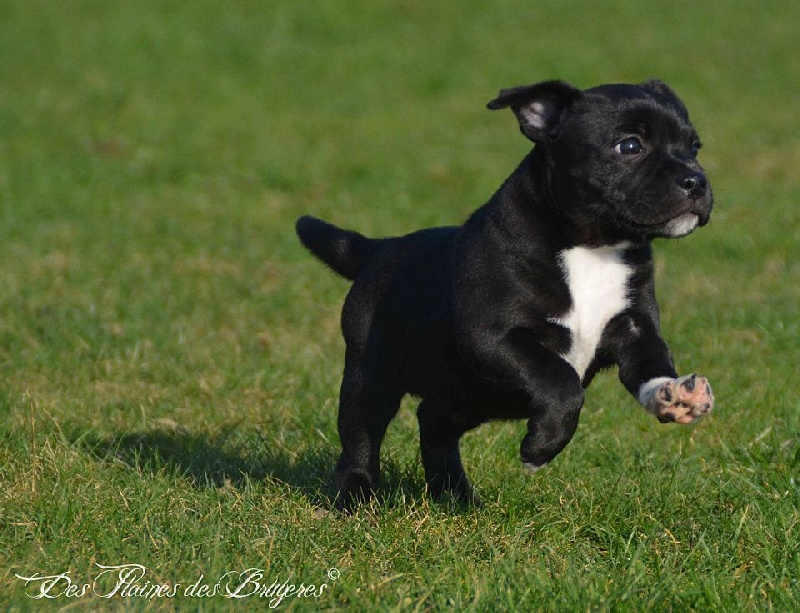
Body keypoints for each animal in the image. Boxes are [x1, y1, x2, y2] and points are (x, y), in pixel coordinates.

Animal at [296, 79, 716, 510]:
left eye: (694, 147)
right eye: (630, 146)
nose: (696, 180)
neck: (593, 246)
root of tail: (379, 249)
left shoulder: (635, 329)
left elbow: (650, 365)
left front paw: (674, 394)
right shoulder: (492, 337)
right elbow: (560, 379)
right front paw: (540, 448)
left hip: (468, 393)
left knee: (433, 421)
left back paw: (454, 494)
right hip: (372, 374)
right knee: (362, 434)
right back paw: (355, 495)